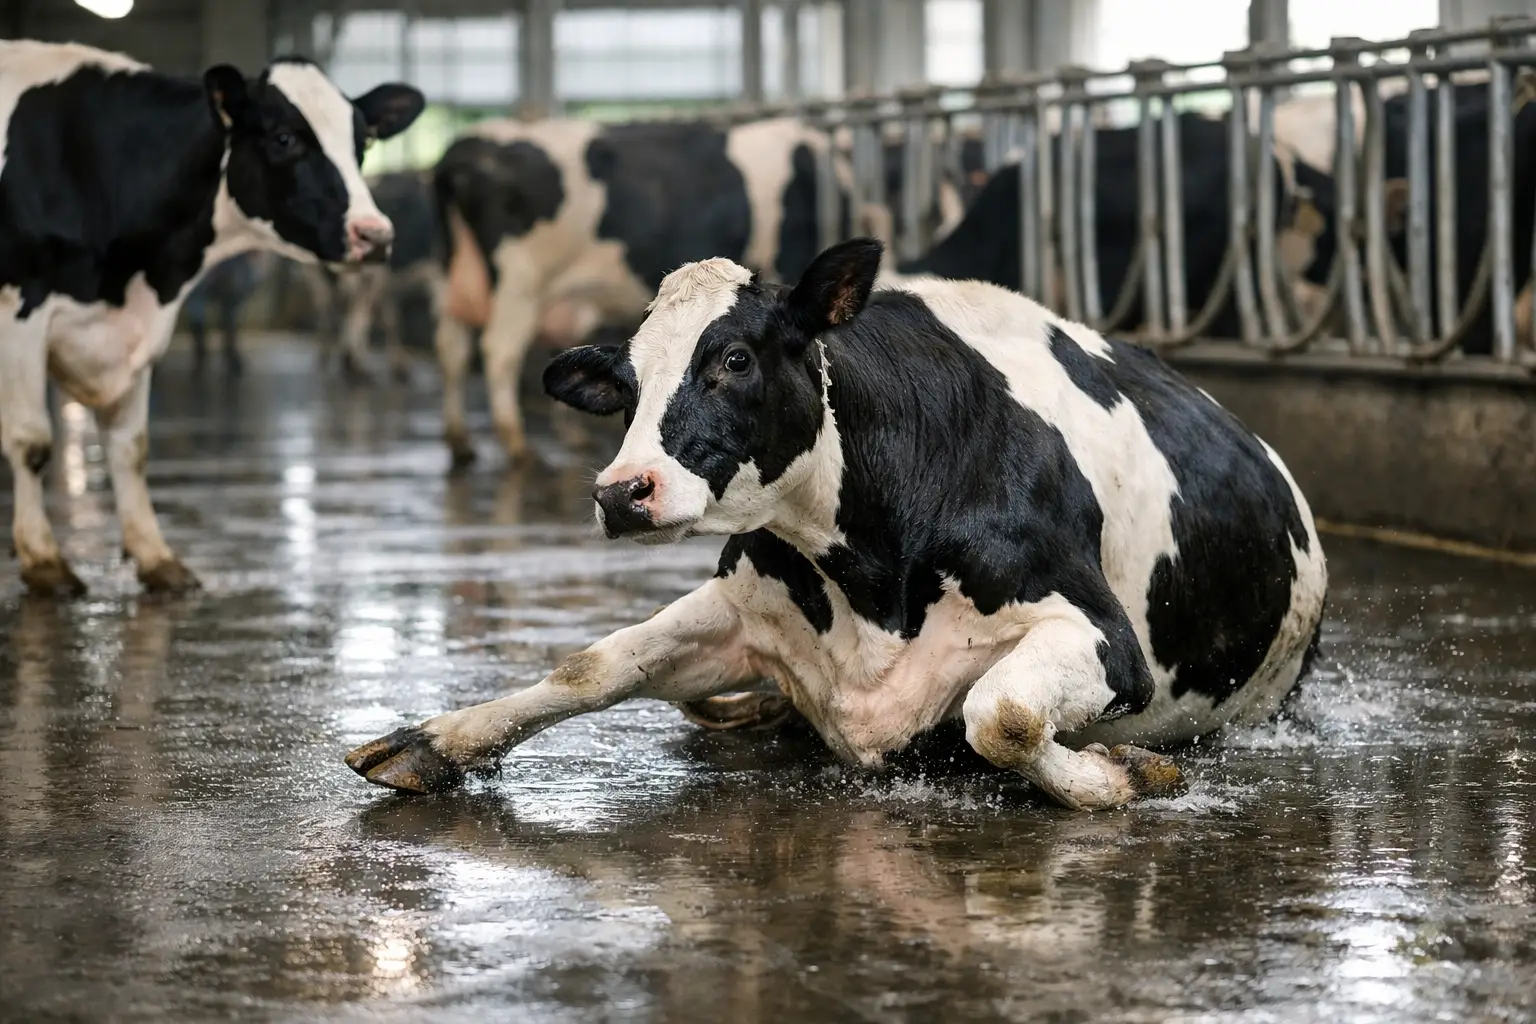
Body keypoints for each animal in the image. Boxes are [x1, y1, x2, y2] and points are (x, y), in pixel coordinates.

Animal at [0, 41, 424, 596]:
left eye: (364, 143)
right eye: (284, 137)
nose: (375, 235)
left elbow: (130, 447)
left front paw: (157, 556)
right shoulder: (20, 312)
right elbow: (31, 440)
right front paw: (44, 561)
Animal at [345, 238, 1328, 810]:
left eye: (735, 359)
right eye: (624, 385)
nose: (622, 492)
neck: (866, 577)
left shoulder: (1102, 637)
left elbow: (1001, 715)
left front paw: (1120, 775)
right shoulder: (747, 605)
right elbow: (592, 665)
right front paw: (432, 742)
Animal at [429, 116, 867, 469]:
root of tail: (467, 145)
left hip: (458, 273)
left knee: (452, 348)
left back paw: (464, 442)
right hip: (518, 283)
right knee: (499, 352)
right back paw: (518, 447)